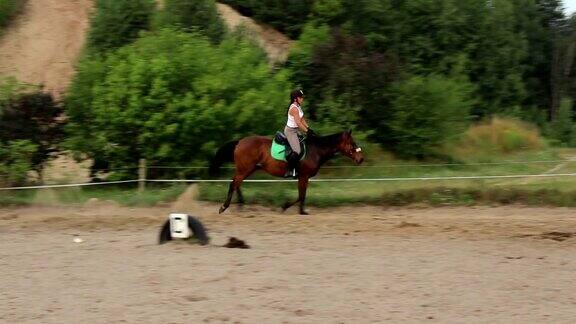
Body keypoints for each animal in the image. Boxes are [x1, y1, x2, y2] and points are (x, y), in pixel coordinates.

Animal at [208, 129, 364, 215]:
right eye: (352, 143)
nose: (361, 159)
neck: (316, 150)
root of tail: (240, 141)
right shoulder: (303, 176)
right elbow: (301, 196)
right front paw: (288, 208)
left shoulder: (304, 177)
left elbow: (302, 195)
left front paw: (300, 211)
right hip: (245, 169)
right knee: (234, 184)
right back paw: (224, 207)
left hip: (247, 169)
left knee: (236, 183)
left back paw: (240, 204)